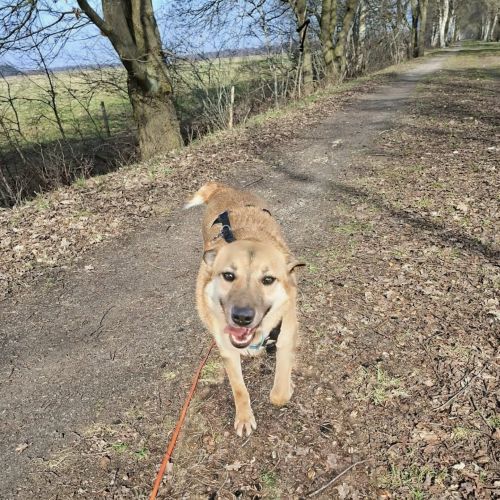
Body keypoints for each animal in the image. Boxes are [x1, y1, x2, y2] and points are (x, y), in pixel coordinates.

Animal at [185, 182, 303, 436]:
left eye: (268, 280)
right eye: (229, 276)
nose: (241, 318)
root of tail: (224, 189)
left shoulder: (286, 336)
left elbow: (279, 392)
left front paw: (287, 386)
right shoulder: (228, 351)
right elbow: (239, 389)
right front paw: (244, 416)